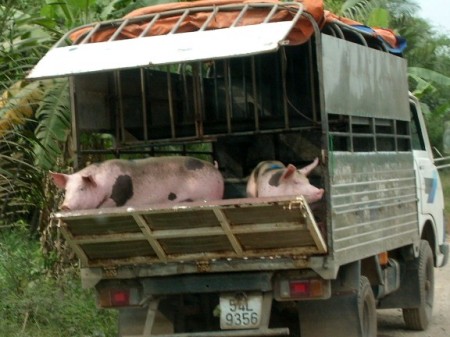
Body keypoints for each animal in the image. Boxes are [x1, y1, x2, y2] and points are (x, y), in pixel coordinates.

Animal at [51, 156, 225, 210]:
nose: (64, 206)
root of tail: (215, 168)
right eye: (66, 190)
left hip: (208, 195)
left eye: (82, 188)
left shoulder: (117, 199)